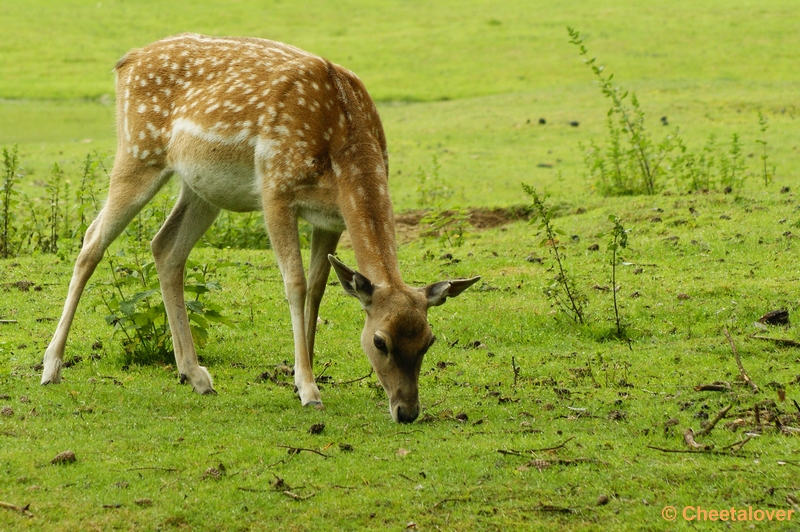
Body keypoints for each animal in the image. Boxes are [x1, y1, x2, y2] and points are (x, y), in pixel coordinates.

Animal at [40, 33, 478, 424]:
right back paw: (51, 367)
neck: (343, 141)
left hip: (202, 187)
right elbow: (295, 284)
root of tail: (125, 62)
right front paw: (308, 389)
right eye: (379, 341)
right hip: (138, 150)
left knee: (165, 247)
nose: (407, 411)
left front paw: (306, 375)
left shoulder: (331, 217)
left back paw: (195, 375)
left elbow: (318, 288)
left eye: (428, 340)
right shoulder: (276, 189)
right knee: (92, 240)